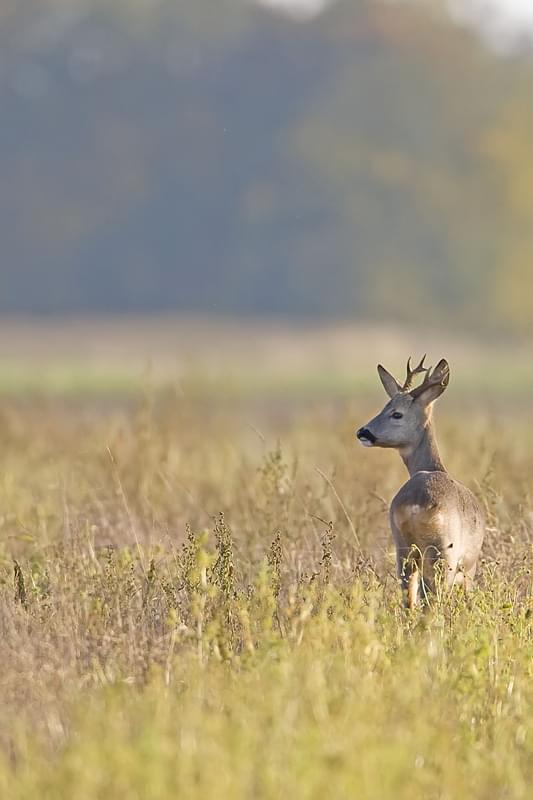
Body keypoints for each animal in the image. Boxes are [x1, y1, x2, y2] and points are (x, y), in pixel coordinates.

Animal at [356, 356, 484, 608]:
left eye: (396, 413)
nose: (363, 432)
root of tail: (416, 504)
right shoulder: (469, 566)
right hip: (443, 552)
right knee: (432, 599)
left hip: (403, 546)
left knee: (409, 597)